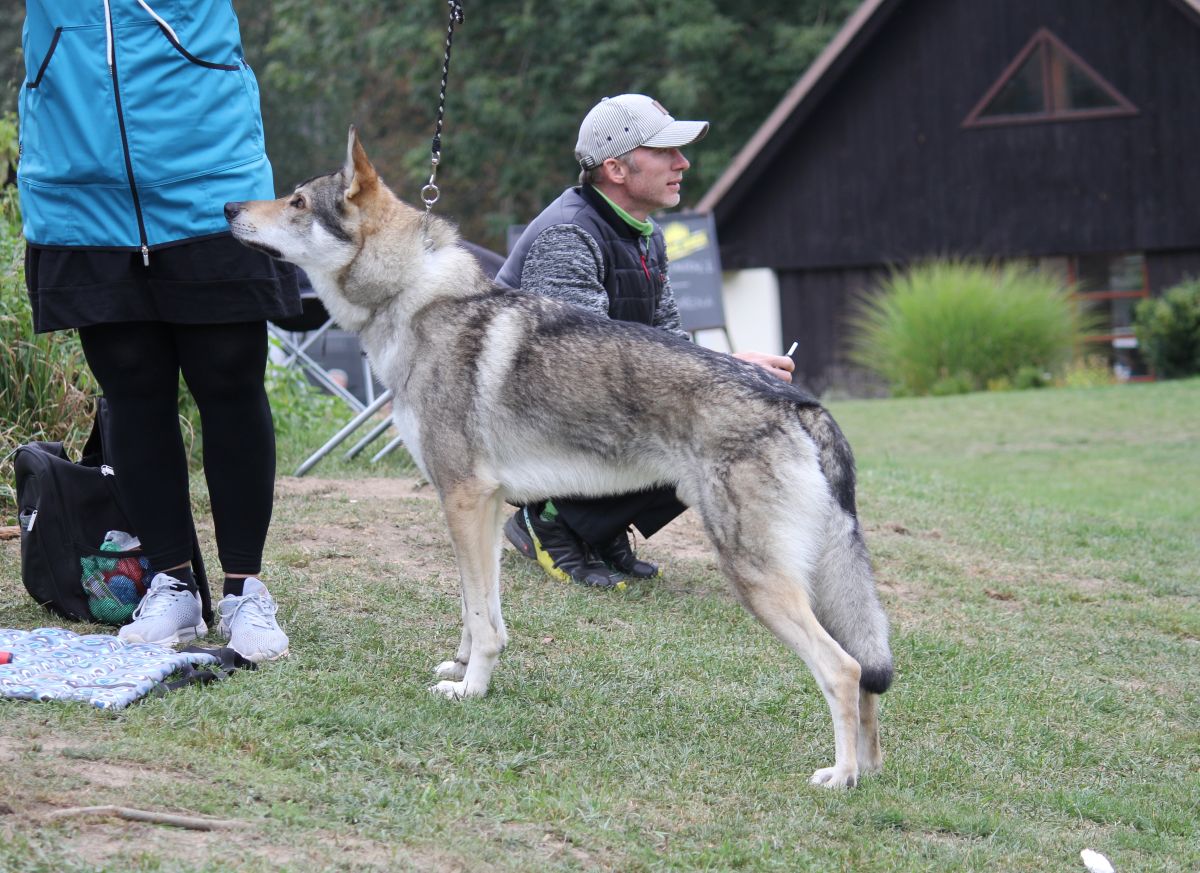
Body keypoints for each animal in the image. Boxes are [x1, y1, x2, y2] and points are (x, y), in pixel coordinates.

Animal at [229, 131, 897, 791]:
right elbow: (478, 611)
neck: (412, 299)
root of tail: (797, 400)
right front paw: (463, 667)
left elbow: (482, 619)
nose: (229, 208)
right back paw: (867, 770)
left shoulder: (463, 498)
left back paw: (839, 776)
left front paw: (469, 690)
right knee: (867, 674)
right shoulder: (485, 509)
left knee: (842, 669)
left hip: (757, 577)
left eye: (295, 202)